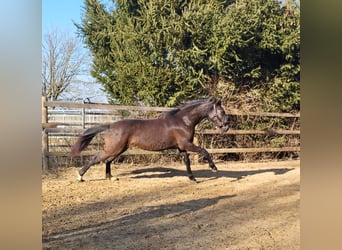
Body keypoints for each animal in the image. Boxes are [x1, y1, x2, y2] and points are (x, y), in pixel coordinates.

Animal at [69, 97, 230, 182]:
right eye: (221, 111)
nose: (226, 127)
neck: (183, 121)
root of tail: (109, 126)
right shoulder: (187, 144)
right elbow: (204, 151)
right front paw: (214, 168)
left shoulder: (181, 147)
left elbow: (187, 161)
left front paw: (192, 178)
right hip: (113, 148)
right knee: (96, 158)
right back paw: (80, 176)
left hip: (119, 149)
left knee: (107, 160)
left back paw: (110, 177)